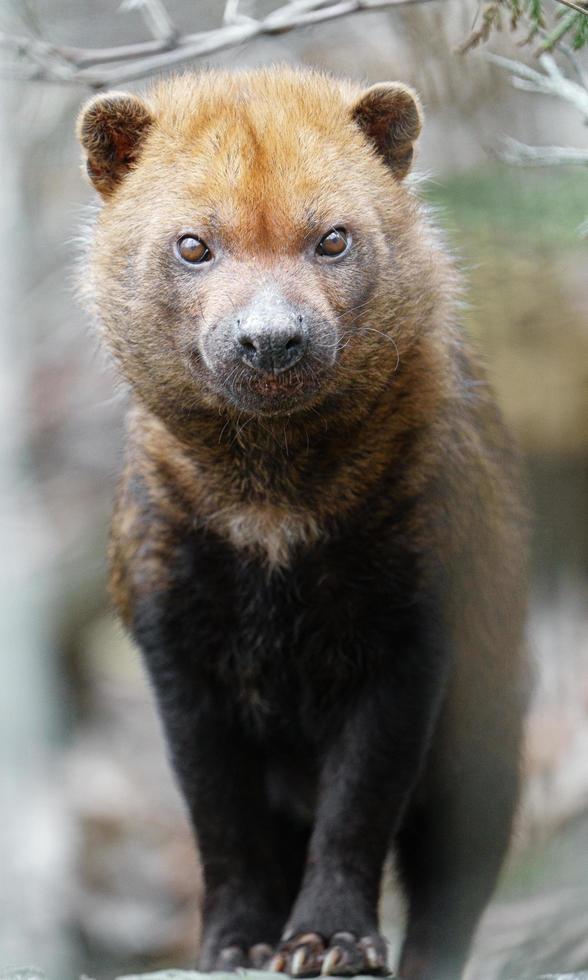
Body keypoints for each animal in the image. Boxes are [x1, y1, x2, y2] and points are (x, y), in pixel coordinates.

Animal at [78, 69, 528, 980]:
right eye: (192, 244)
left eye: (333, 239)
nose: (272, 340)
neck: (273, 518)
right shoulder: (175, 650)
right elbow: (220, 821)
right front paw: (237, 942)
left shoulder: (412, 639)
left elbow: (359, 810)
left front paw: (330, 941)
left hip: (494, 729)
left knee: (453, 888)